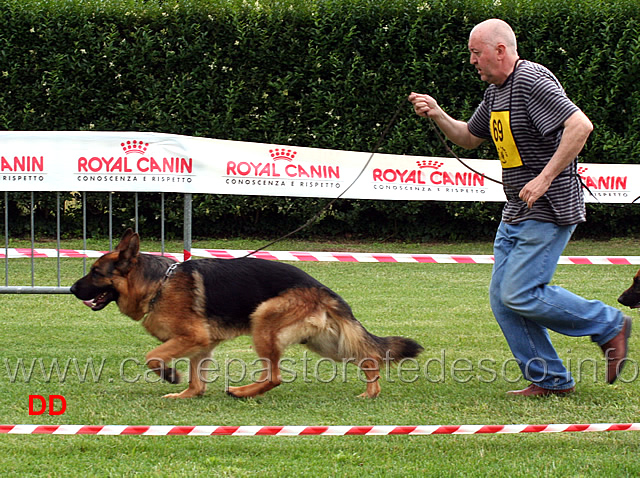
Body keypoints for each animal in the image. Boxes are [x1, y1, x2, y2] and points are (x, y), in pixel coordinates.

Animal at [70, 230, 422, 398]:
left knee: (275, 377)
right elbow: (197, 381)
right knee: (370, 358)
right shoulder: (201, 345)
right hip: (324, 343)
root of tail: (321, 288)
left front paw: (170, 376)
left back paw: (241, 392)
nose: (72, 289)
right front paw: (187, 395)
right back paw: (371, 392)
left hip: (263, 322)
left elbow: (152, 357)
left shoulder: (191, 337)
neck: (158, 283)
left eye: (95, 272)